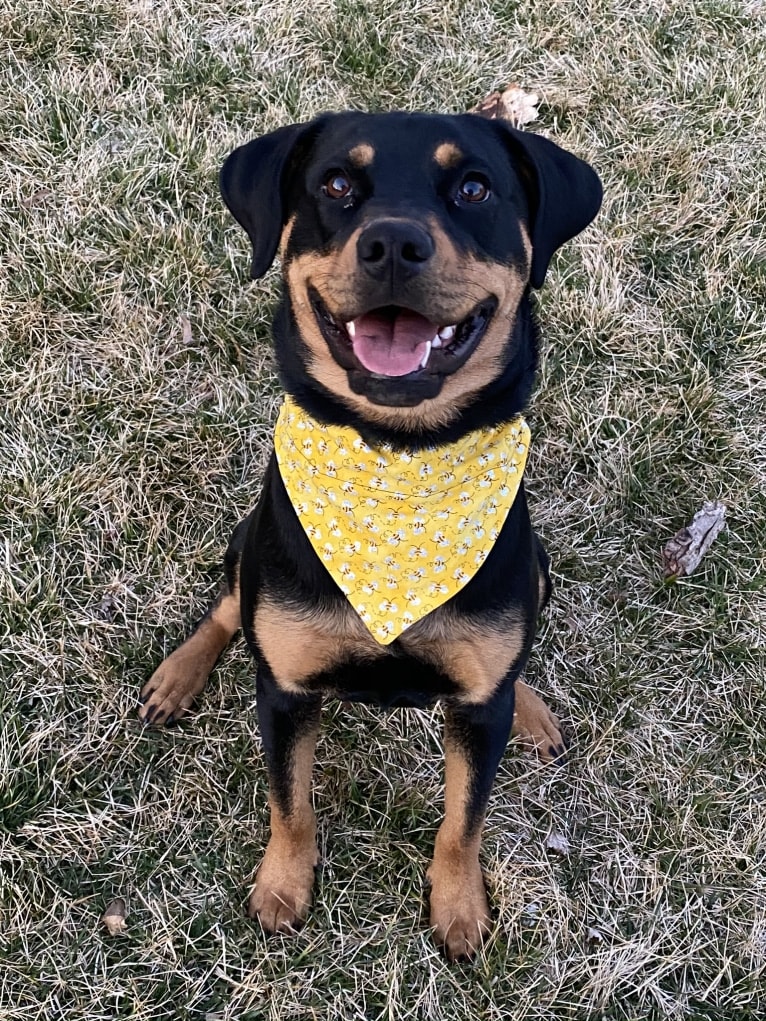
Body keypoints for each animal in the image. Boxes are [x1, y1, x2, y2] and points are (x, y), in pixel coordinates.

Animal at [140, 113, 604, 963]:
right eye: (335, 184)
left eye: (474, 187)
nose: (392, 243)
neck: (399, 461)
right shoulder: (285, 689)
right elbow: (289, 801)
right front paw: (283, 887)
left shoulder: (475, 707)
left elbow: (464, 817)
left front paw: (459, 906)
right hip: (246, 538)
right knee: (227, 605)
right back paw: (178, 675)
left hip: (541, 567)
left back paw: (530, 706)